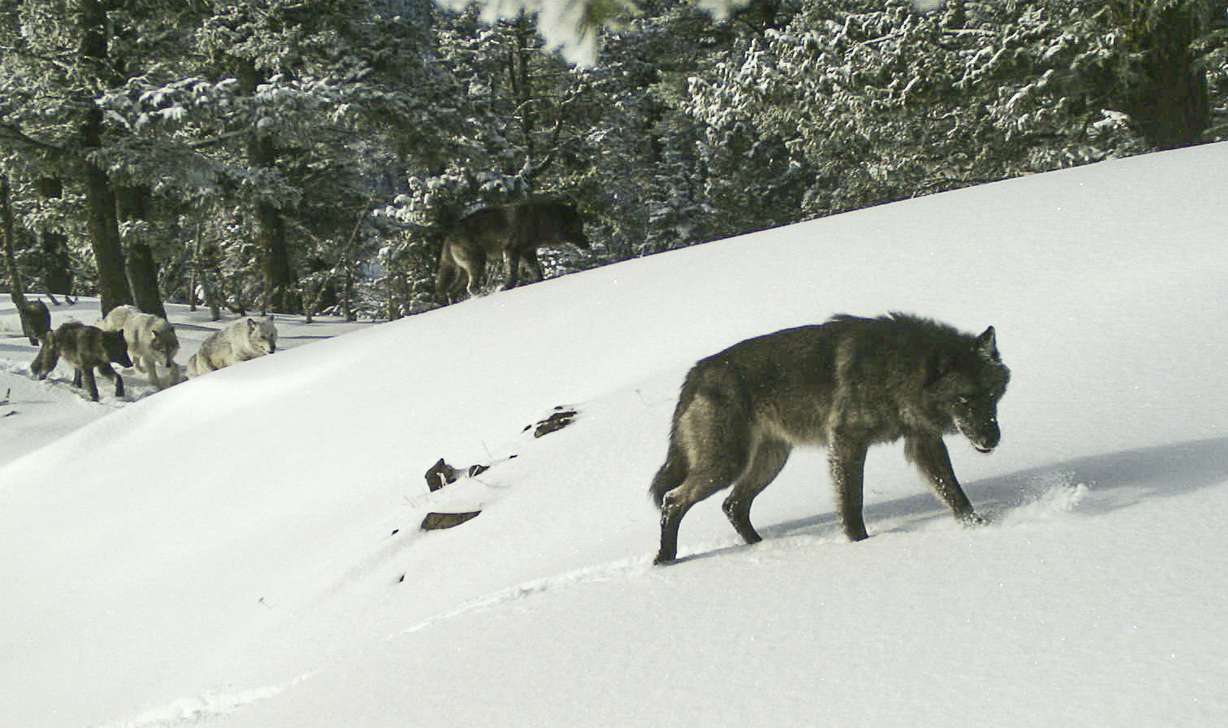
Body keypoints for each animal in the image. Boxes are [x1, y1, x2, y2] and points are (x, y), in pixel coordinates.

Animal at [435, 200, 589, 303]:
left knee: (451, 291)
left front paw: (539, 282)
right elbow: (513, 273)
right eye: (578, 229)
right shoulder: (511, 250)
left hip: (465, 271)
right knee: (471, 288)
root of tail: (449, 236)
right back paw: (484, 295)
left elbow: (536, 271)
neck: (539, 220)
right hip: (478, 263)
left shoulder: (528, 252)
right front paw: (506, 287)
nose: (588, 243)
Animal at [649, 313, 1011, 565]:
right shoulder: (847, 442)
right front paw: (860, 545)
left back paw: (762, 547)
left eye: (992, 396)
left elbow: (955, 494)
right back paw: (665, 560)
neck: (897, 368)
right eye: (964, 400)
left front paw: (979, 527)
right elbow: (851, 503)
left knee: (733, 505)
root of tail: (696, 372)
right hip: (727, 465)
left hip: (770, 462)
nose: (992, 439)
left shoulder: (924, 442)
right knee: (672, 501)